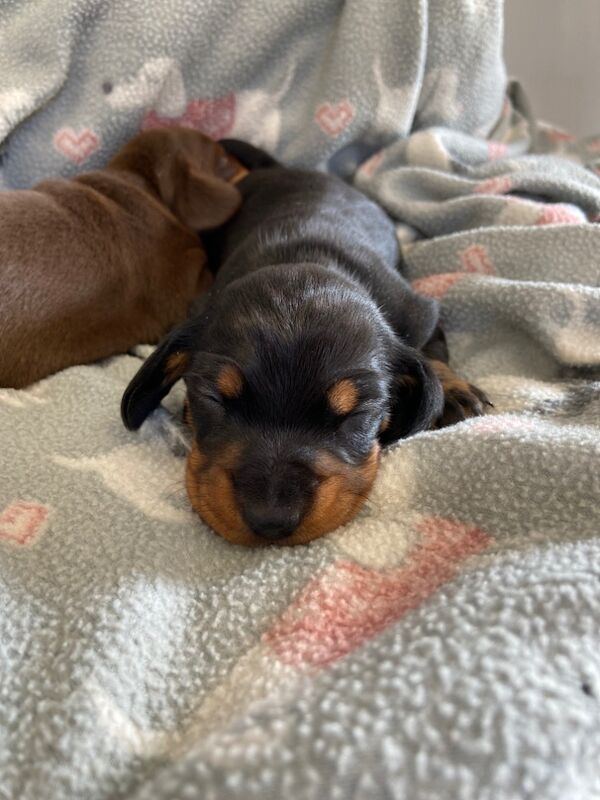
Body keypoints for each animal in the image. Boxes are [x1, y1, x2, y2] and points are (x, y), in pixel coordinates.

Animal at [120, 141, 488, 548]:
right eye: (212, 399)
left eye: (356, 414)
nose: (270, 520)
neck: (305, 257)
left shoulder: (420, 312)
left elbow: (431, 355)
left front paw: (455, 393)